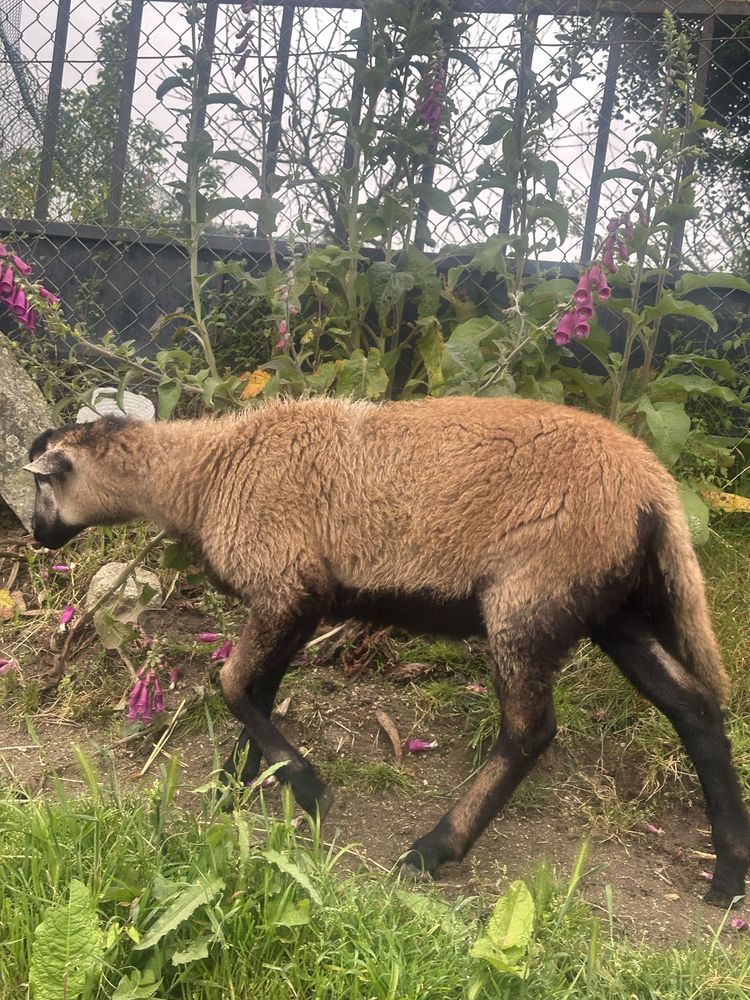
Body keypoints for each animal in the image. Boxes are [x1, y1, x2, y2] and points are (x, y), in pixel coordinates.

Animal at [25, 394, 750, 904]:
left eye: (40, 483)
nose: (34, 537)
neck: (204, 476)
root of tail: (654, 488)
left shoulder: (284, 581)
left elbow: (230, 684)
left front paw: (307, 789)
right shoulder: (301, 599)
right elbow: (257, 690)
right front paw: (236, 786)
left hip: (530, 596)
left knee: (531, 731)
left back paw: (431, 850)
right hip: (609, 606)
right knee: (693, 708)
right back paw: (728, 877)